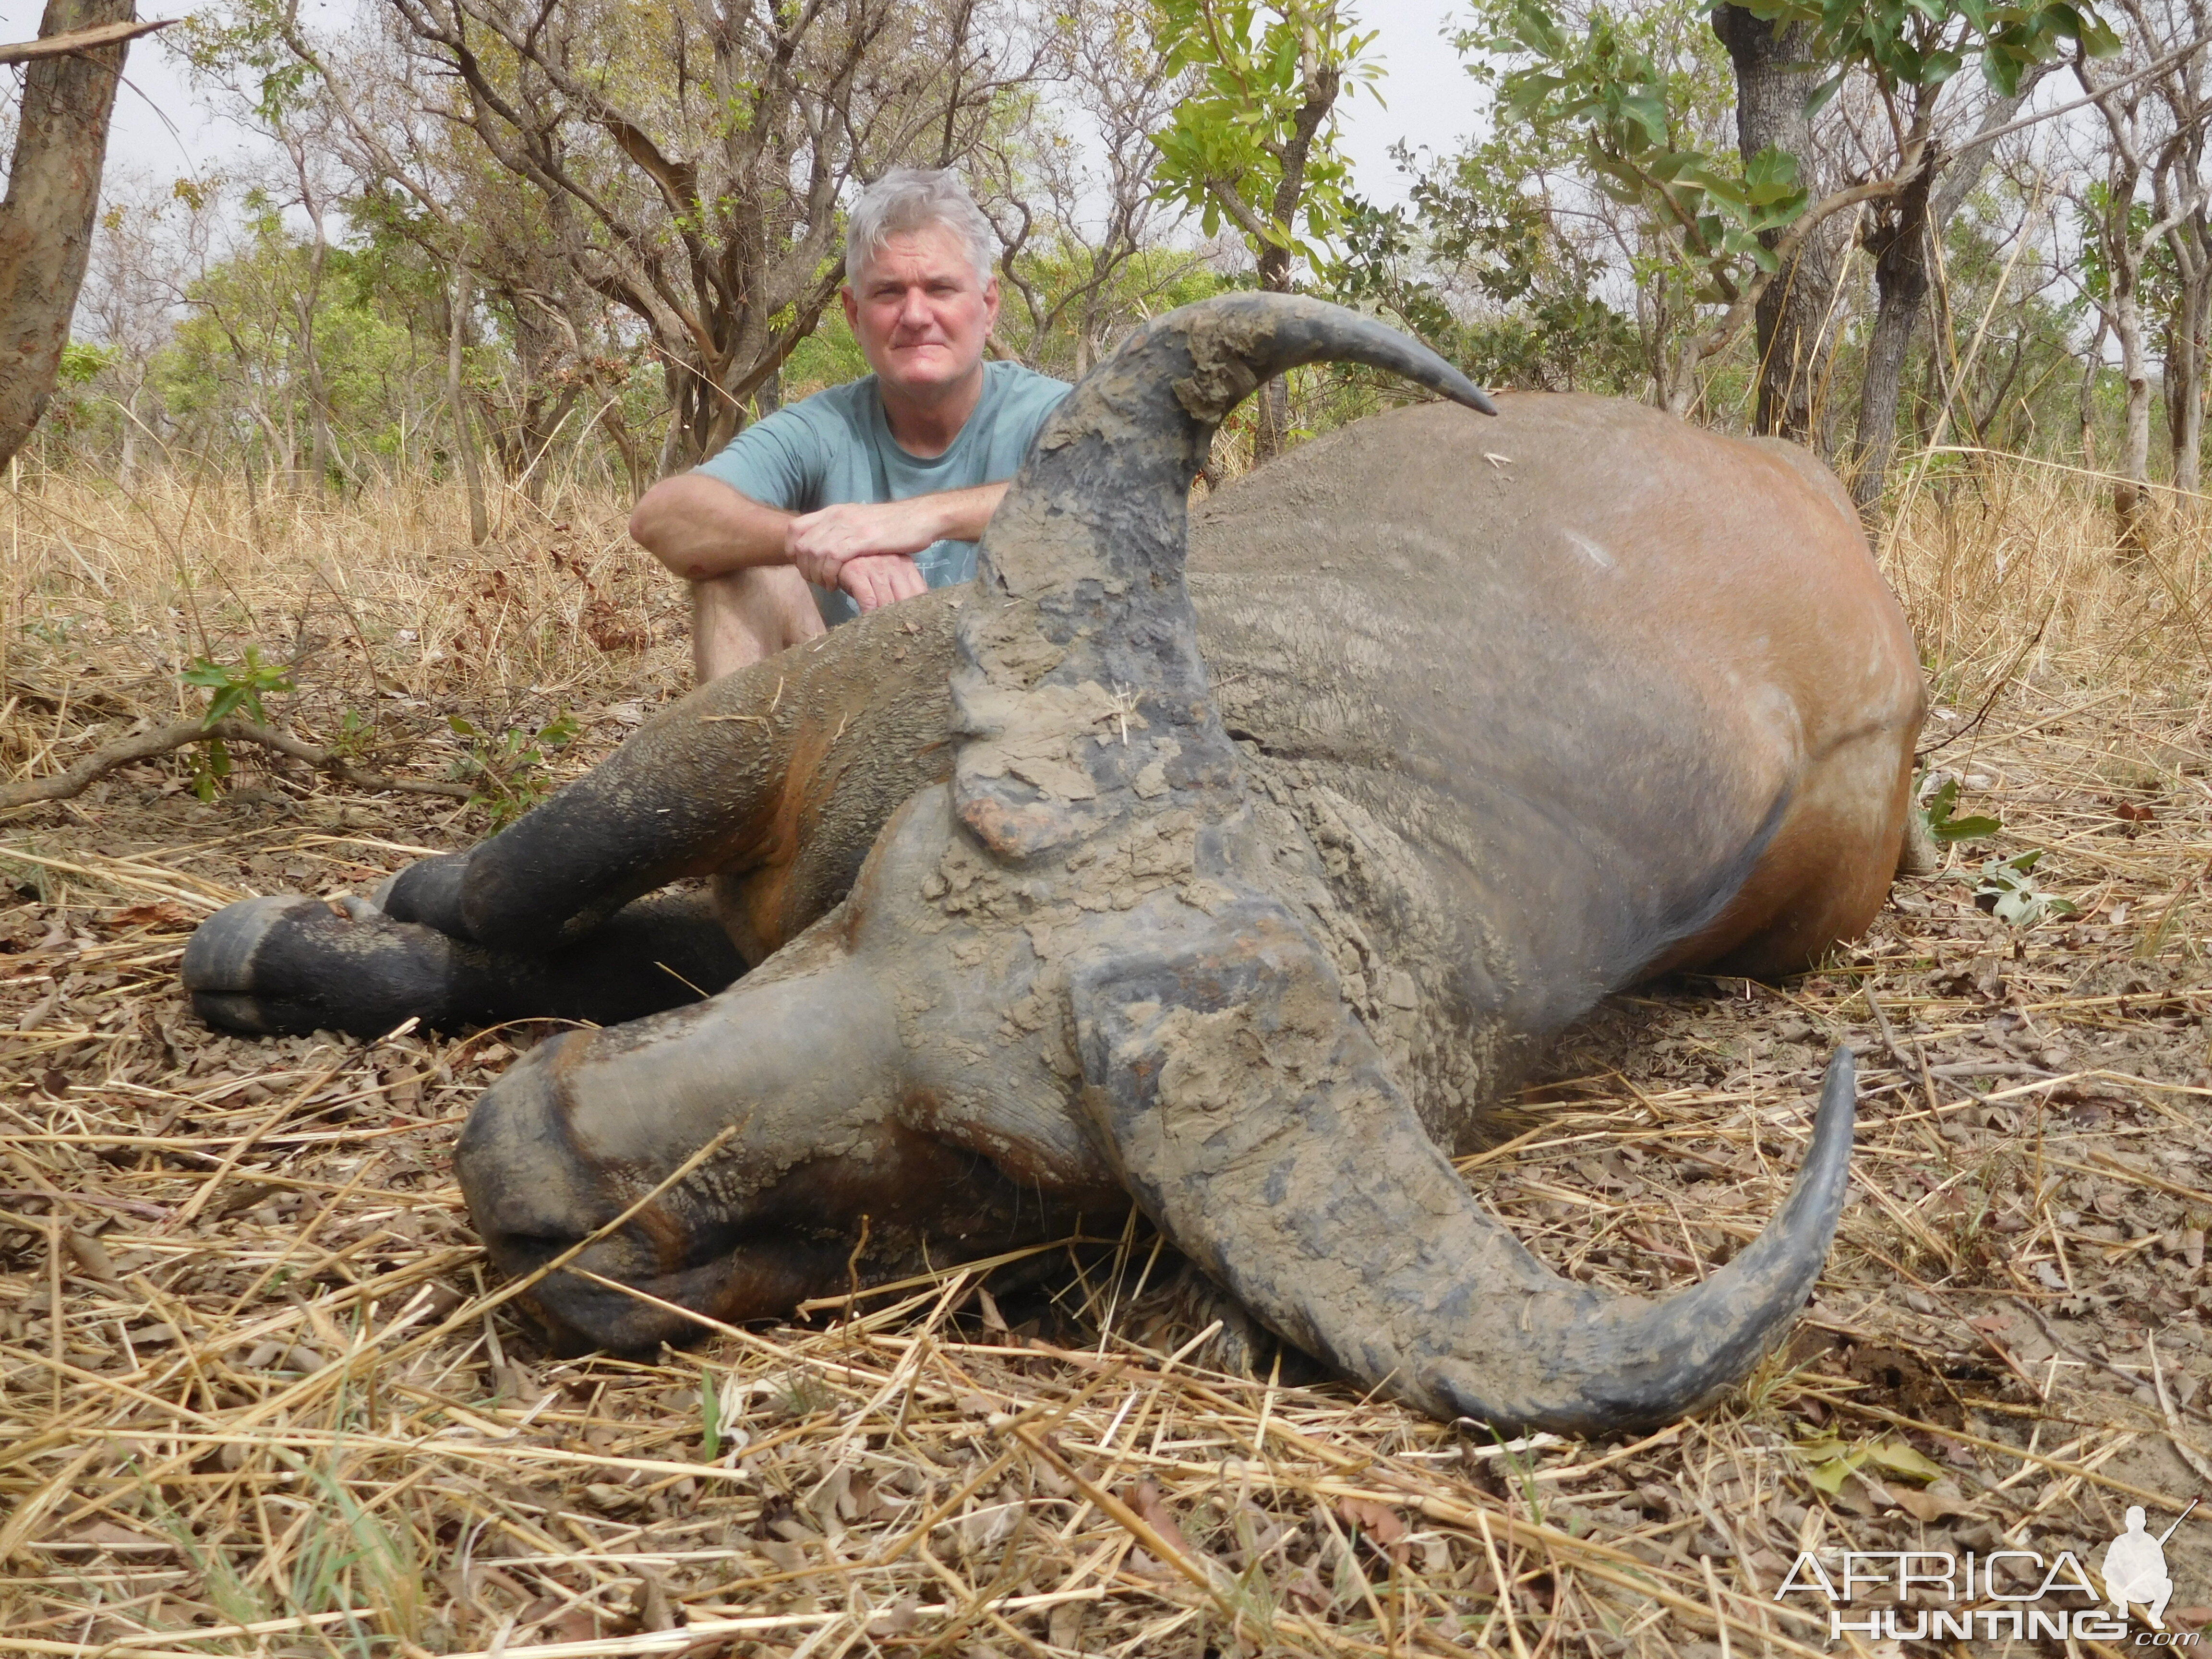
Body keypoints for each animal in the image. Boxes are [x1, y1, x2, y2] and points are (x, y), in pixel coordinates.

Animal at [186, 299, 1920, 1442]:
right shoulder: (778, 725)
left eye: (987, 1161)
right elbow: (517, 889)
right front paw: (300, 944)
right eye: (882, 896)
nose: (529, 1153)